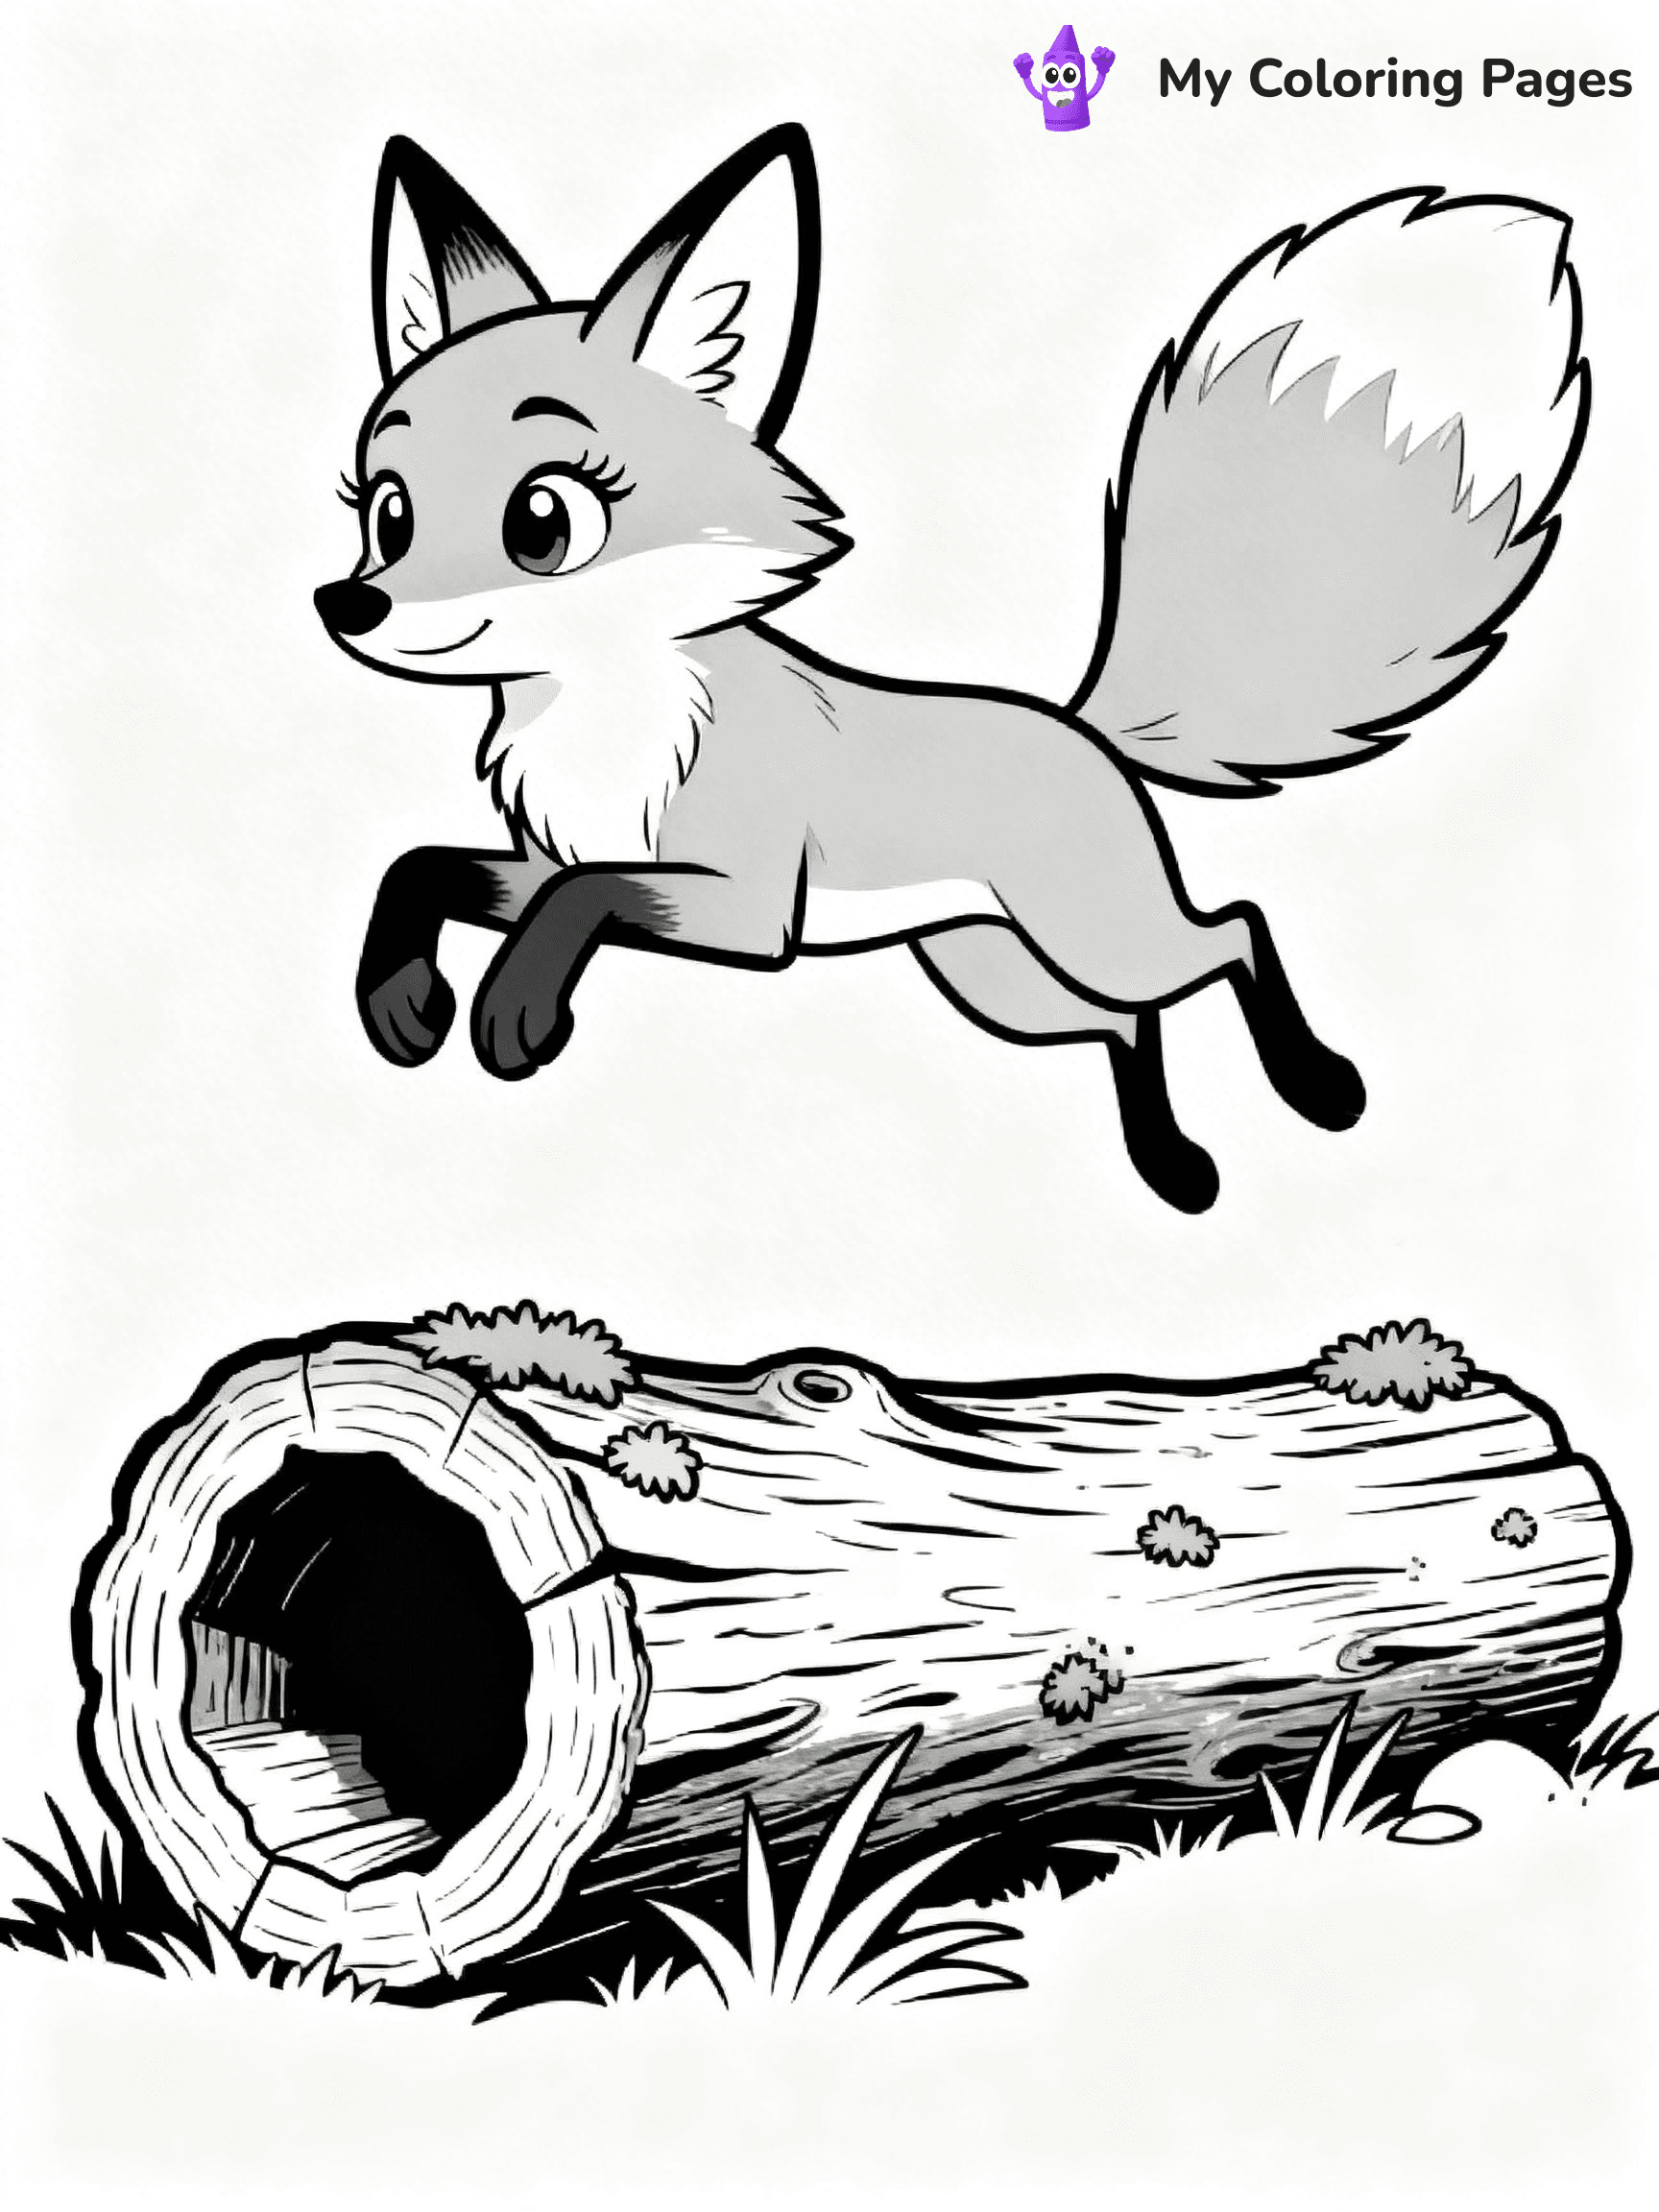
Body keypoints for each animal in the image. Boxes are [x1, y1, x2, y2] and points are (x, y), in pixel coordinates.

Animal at [314, 125, 1587, 1212]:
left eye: (544, 520)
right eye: (386, 511)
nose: (348, 603)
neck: (609, 720)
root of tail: (1085, 729)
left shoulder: (742, 909)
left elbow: (577, 902)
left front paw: (514, 1009)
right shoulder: (560, 854)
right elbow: (425, 870)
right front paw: (403, 1000)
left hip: (1094, 937)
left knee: (1233, 930)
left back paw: (1315, 1085)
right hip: (998, 978)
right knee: (1129, 1023)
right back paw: (1174, 1166)